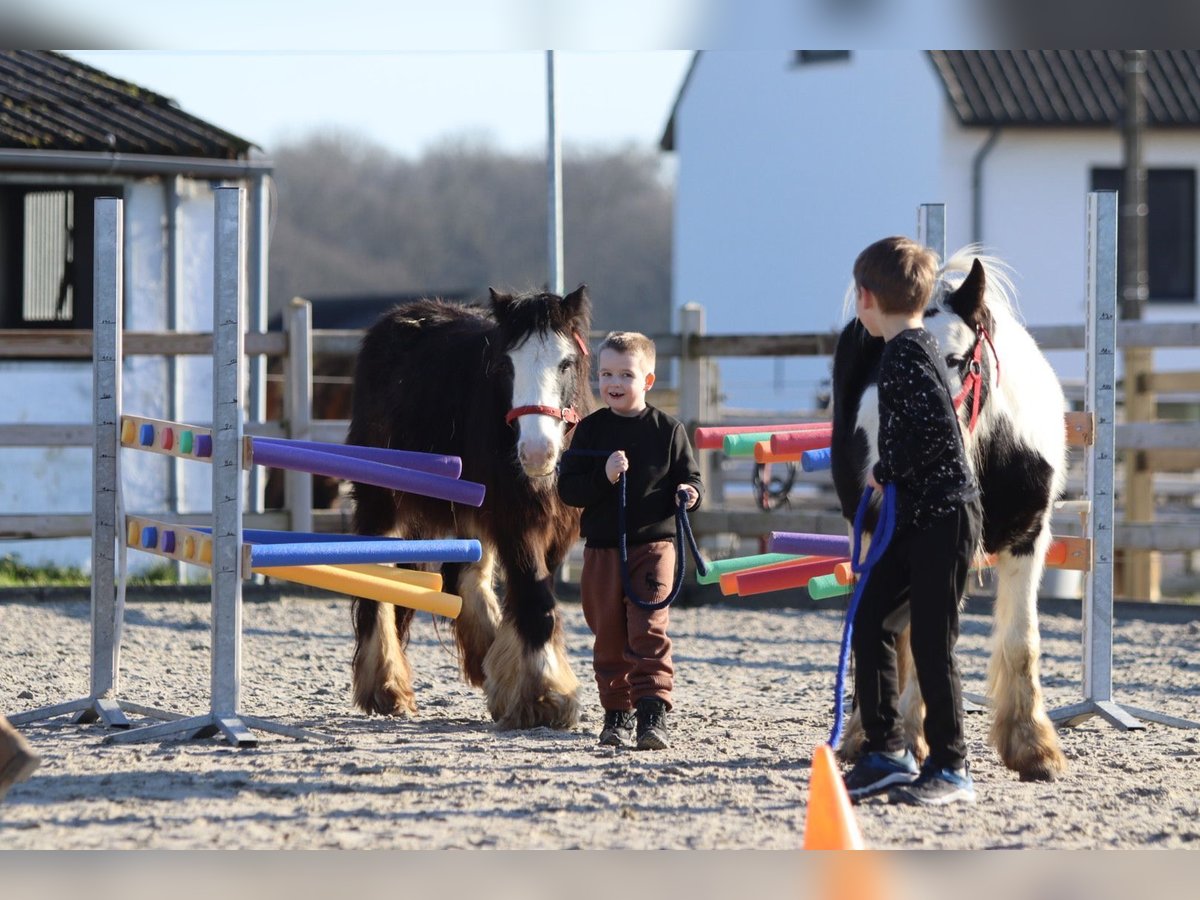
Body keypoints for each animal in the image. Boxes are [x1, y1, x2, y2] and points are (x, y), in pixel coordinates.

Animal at [345, 289, 592, 734]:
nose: (537, 453)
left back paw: (484, 659)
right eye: (506, 365)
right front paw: (546, 697)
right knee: (377, 580)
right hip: (381, 500)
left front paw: (516, 684)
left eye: (565, 362)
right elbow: (534, 599)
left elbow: (534, 596)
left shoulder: (555, 531)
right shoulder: (515, 521)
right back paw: (386, 685)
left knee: (466, 577)